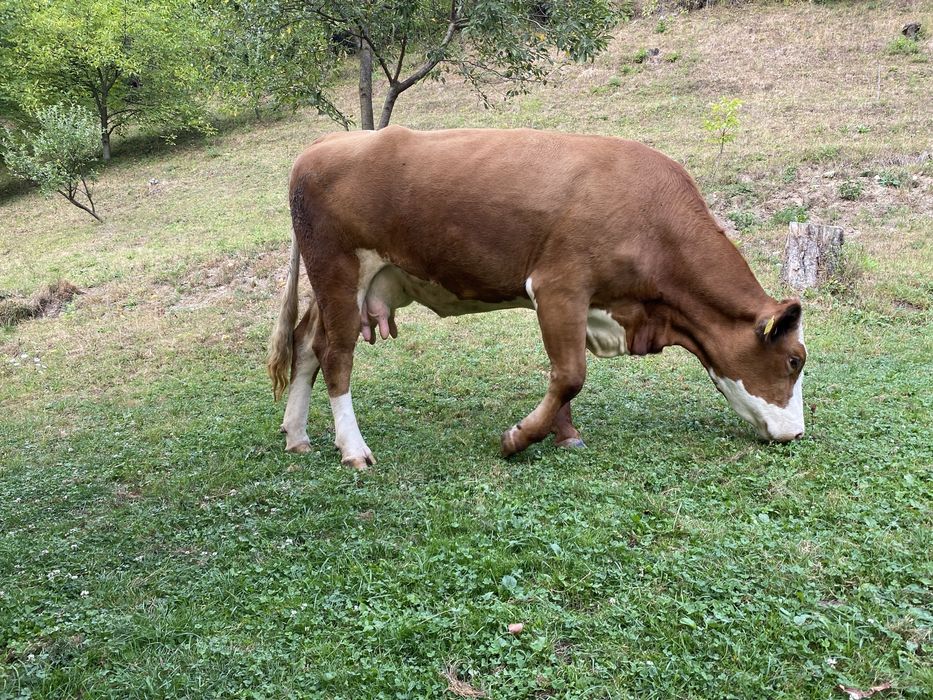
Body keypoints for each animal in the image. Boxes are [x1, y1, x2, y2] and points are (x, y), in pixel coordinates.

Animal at [267, 127, 807, 469]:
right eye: (794, 360)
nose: (798, 433)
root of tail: (326, 142)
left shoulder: (574, 301)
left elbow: (559, 372)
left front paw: (565, 436)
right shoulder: (559, 285)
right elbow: (570, 375)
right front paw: (518, 439)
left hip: (343, 285)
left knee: (307, 344)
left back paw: (297, 435)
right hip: (338, 270)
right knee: (336, 355)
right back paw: (353, 449)